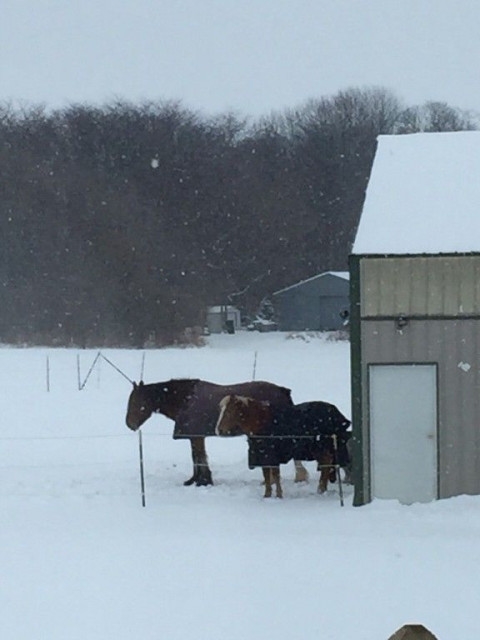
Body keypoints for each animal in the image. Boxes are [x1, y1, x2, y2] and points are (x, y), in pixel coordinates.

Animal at [125, 380, 310, 484]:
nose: (129, 424)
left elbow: (199, 457)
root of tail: (282, 391)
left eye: (136, 401)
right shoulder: (196, 436)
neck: (185, 399)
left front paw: (203, 481)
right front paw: (195, 480)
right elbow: (196, 457)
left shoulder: (196, 436)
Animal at [216, 396, 350, 500]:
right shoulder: (263, 454)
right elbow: (266, 474)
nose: (219, 430)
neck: (261, 422)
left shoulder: (271, 454)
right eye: (221, 410)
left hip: (320, 447)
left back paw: (321, 489)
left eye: (229, 412)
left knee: (326, 462)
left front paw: (279, 495)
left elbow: (275, 474)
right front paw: (267, 495)